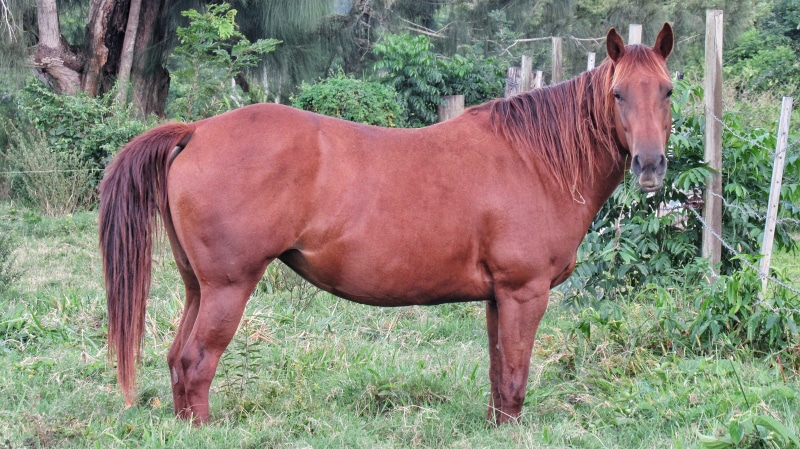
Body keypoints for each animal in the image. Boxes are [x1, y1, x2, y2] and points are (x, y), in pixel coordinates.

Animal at [99, 24, 674, 425]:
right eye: (618, 94)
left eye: (667, 91)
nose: (650, 166)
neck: (534, 160)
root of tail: (195, 130)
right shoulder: (523, 292)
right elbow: (514, 377)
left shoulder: (498, 298)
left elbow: (498, 376)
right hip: (228, 287)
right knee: (197, 361)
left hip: (198, 287)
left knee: (178, 359)